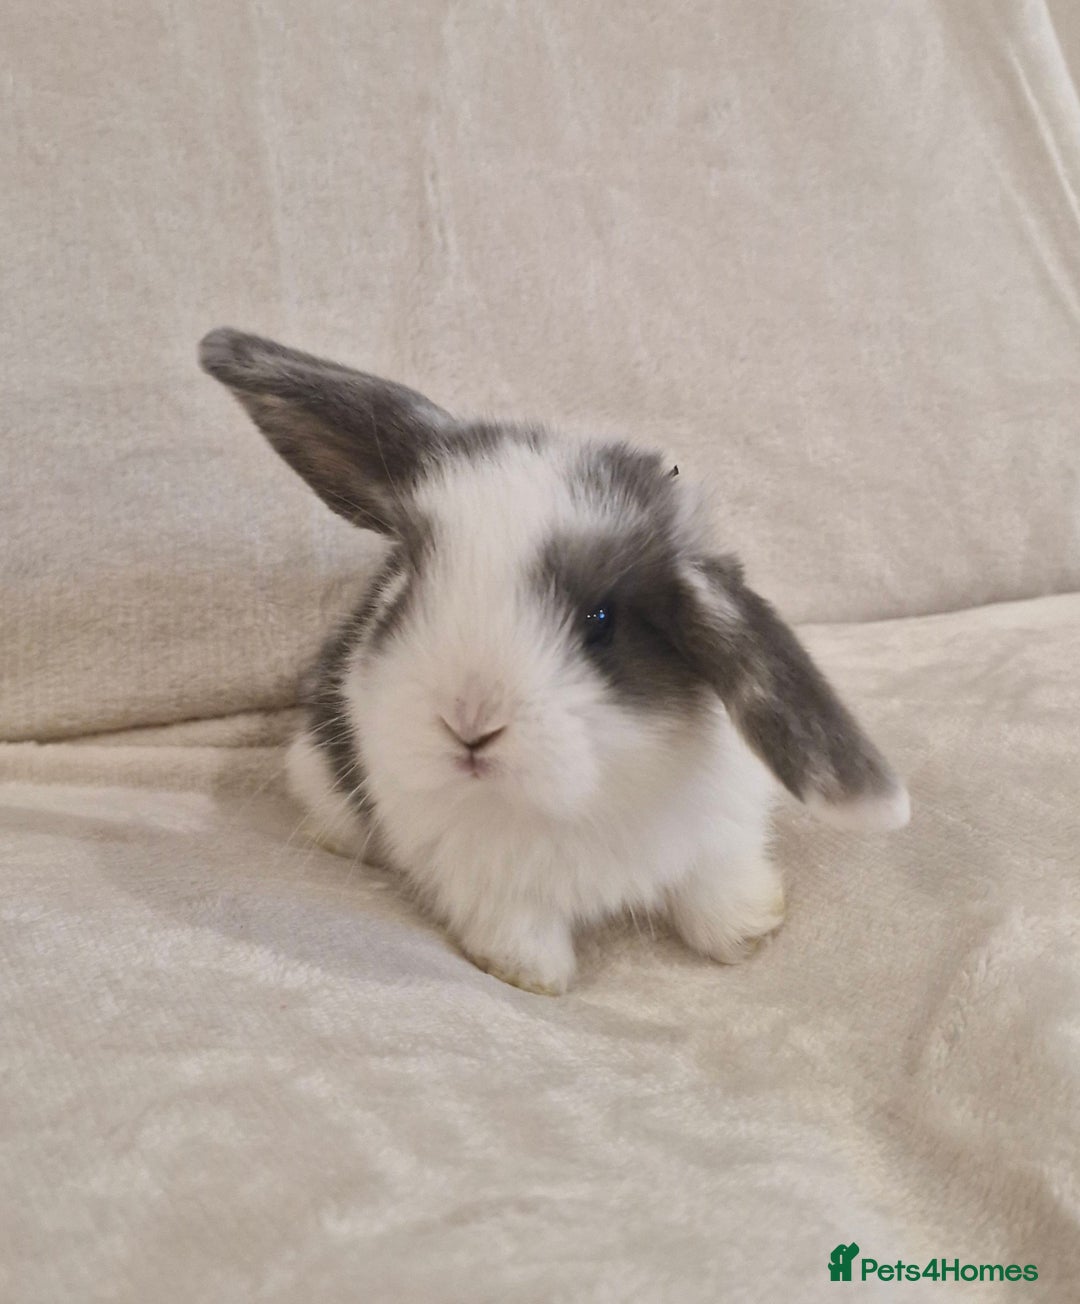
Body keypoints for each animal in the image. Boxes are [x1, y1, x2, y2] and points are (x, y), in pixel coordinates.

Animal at [200, 328, 910, 995]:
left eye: (601, 621)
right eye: (407, 587)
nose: (468, 724)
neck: (578, 800)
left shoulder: (718, 836)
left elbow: (714, 889)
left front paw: (749, 933)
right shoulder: (483, 880)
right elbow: (519, 931)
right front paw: (533, 977)